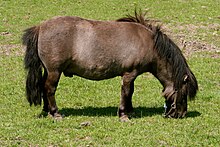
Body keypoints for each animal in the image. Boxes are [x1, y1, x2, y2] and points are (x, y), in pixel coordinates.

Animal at [22, 11, 198, 121]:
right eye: (184, 94)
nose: (181, 114)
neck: (148, 43)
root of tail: (40, 27)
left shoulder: (130, 76)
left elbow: (130, 92)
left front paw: (130, 110)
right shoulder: (129, 74)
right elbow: (126, 92)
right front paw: (123, 114)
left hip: (48, 71)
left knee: (43, 87)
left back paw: (47, 111)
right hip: (54, 71)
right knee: (49, 89)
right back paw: (55, 113)